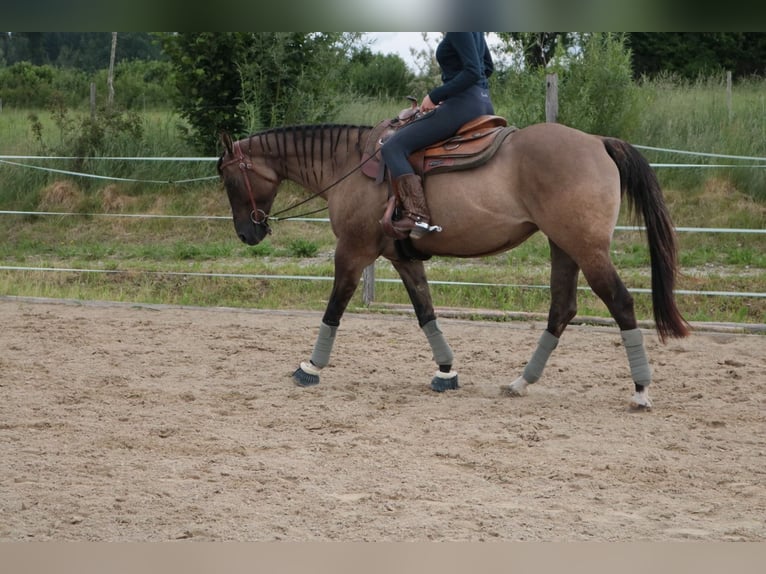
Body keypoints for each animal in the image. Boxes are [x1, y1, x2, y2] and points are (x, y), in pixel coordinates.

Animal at [217, 119, 690, 409]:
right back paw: (521, 382)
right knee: (562, 308)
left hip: (587, 250)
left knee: (621, 303)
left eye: (226, 175)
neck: (348, 165)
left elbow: (334, 308)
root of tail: (597, 142)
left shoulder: (351, 252)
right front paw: (446, 371)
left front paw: (310, 366)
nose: (247, 233)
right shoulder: (401, 259)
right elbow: (425, 311)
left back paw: (641, 391)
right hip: (563, 247)